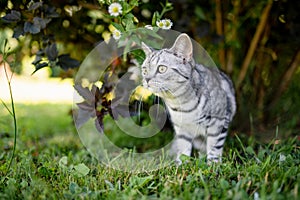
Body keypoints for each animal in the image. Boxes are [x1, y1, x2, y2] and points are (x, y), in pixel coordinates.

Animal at [141, 33, 237, 164]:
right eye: (144, 70)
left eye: (161, 69)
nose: (146, 79)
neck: (181, 104)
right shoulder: (182, 129)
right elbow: (183, 150)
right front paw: (181, 165)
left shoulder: (219, 123)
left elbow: (214, 149)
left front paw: (213, 165)